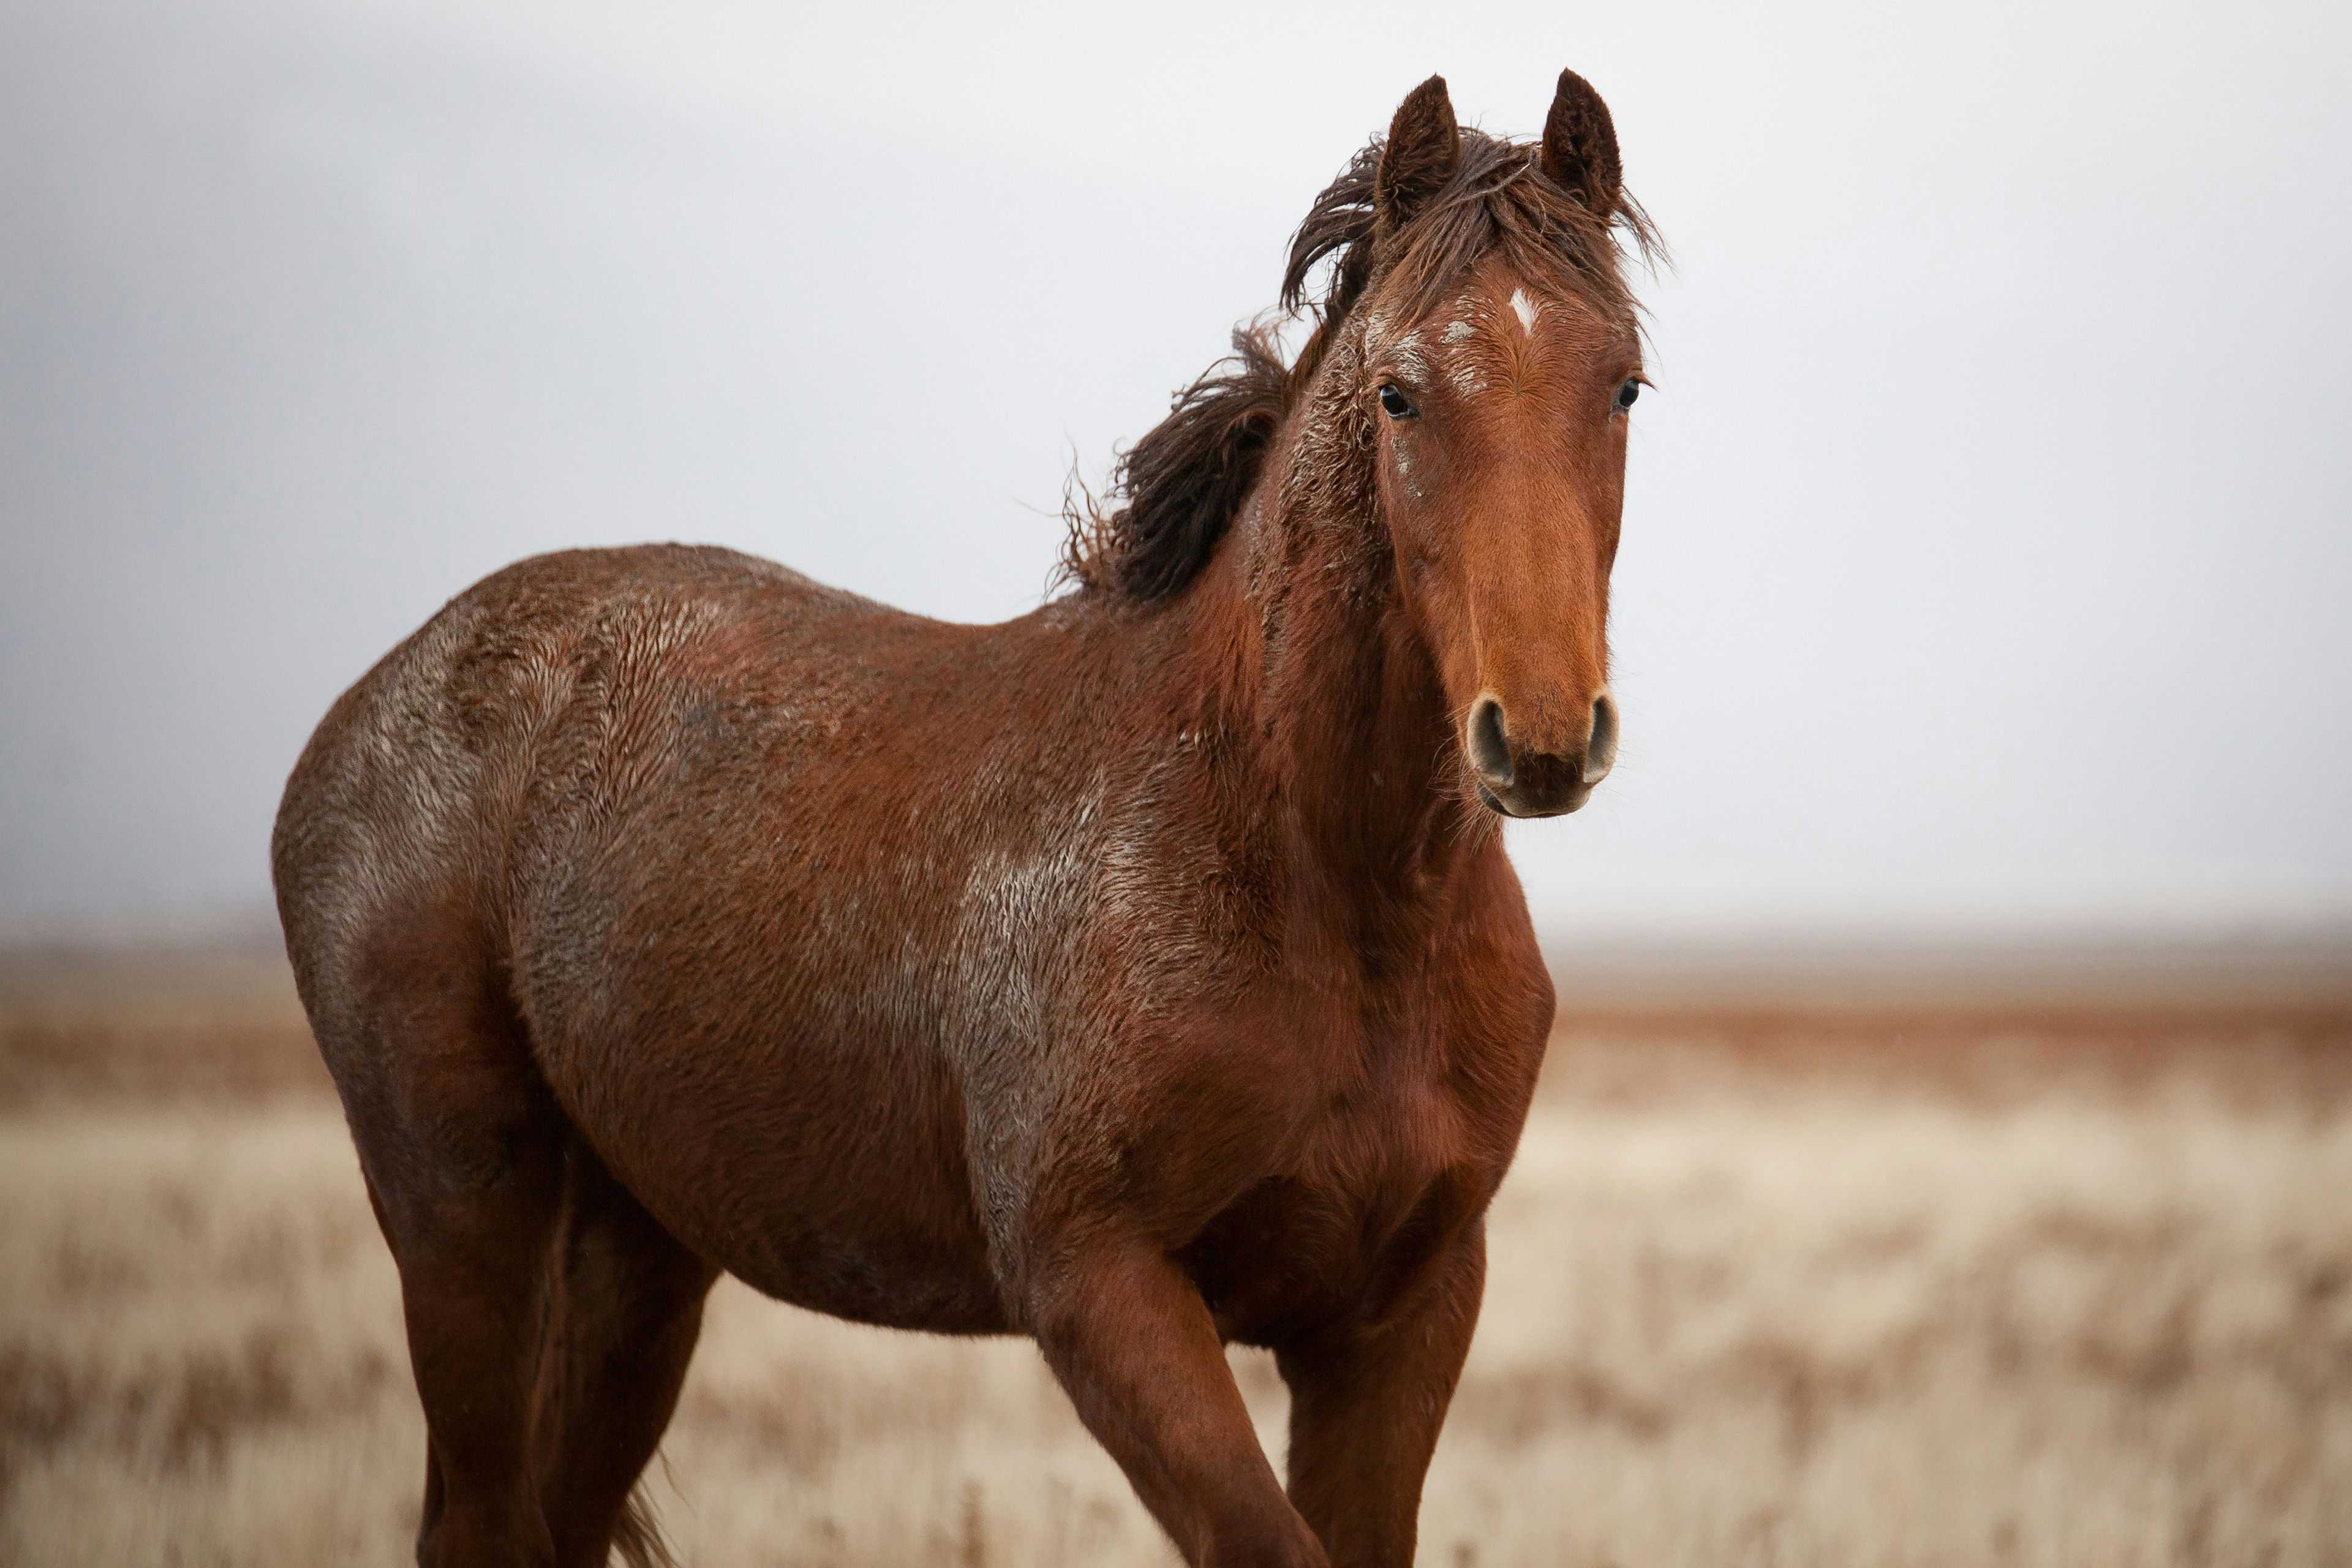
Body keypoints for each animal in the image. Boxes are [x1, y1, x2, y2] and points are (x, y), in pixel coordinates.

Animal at [271, 67, 1656, 1568]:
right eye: (1400, 394)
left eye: (1625, 383)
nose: (1541, 736)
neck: (1322, 886)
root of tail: (365, 710)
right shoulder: (1099, 1288)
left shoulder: (1400, 1314)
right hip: (464, 1214)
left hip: (638, 1260)